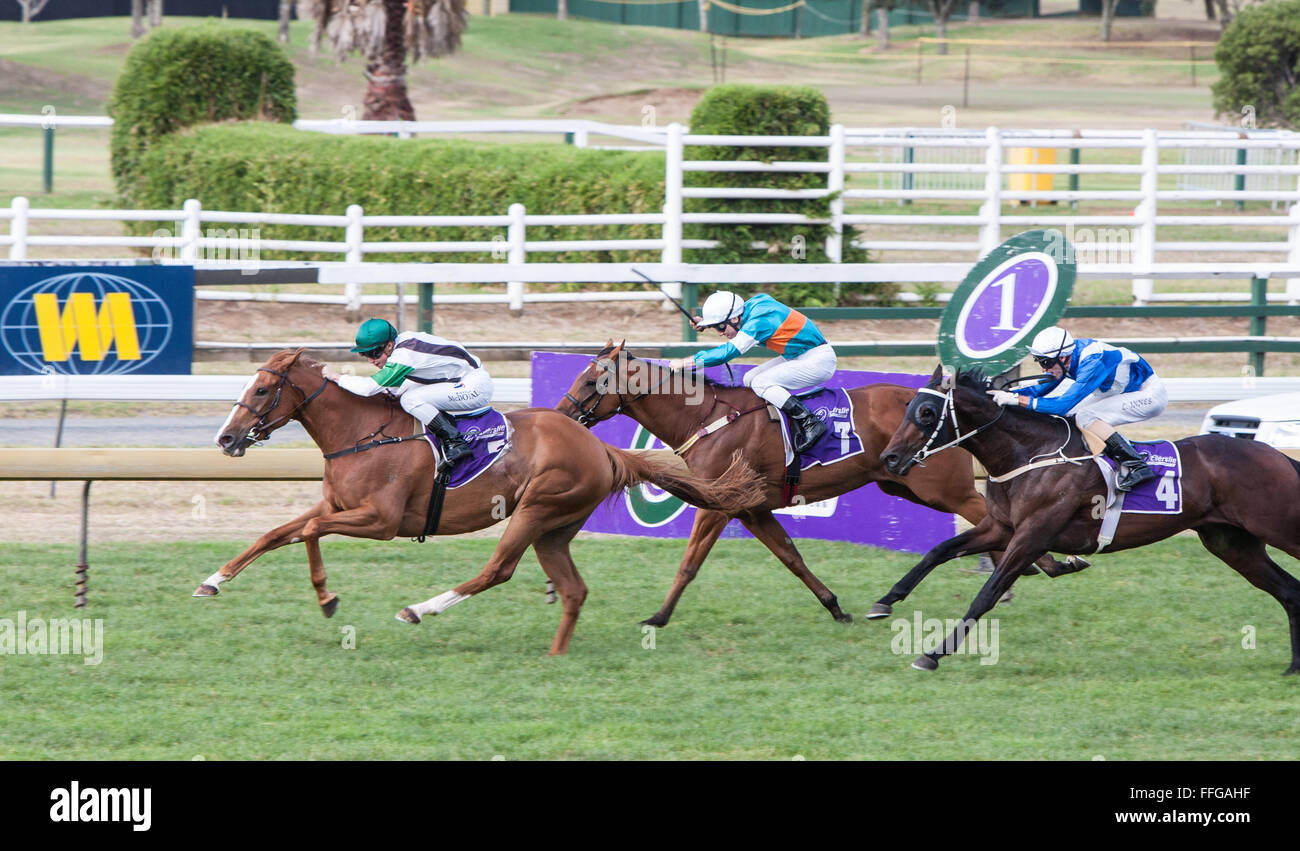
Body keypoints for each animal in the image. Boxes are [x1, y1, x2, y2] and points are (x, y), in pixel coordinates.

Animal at [204, 350, 764, 654]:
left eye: (261, 392)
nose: (226, 440)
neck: (362, 432)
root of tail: (602, 447)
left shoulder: (380, 520)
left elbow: (309, 534)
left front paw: (326, 598)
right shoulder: (337, 507)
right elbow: (277, 532)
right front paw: (212, 580)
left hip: (536, 508)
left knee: (498, 569)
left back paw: (418, 609)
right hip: (554, 528)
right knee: (573, 590)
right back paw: (555, 654)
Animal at [559, 342, 1076, 628]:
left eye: (591, 380)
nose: (562, 415)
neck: (707, 418)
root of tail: (941, 401)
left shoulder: (718, 504)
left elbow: (689, 564)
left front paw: (658, 617)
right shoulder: (750, 507)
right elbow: (792, 557)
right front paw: (835, 608)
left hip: (939, 488)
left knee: (989, 515)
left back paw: (1047, 562)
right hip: (900, 485)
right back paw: (1043, 565)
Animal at [868, 368, 1300, 675]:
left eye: (926, 413)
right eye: (906, 409)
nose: (889, 459)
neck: (1030, 454)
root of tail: (1278, 456)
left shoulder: (1032, 536)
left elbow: (987, 593)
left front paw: (932, 654)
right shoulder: (1001, 528)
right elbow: (938, 551)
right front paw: (884, 602)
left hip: (1277, 528)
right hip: (1232, 543)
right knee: (1289, 591)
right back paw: (1293, 667)